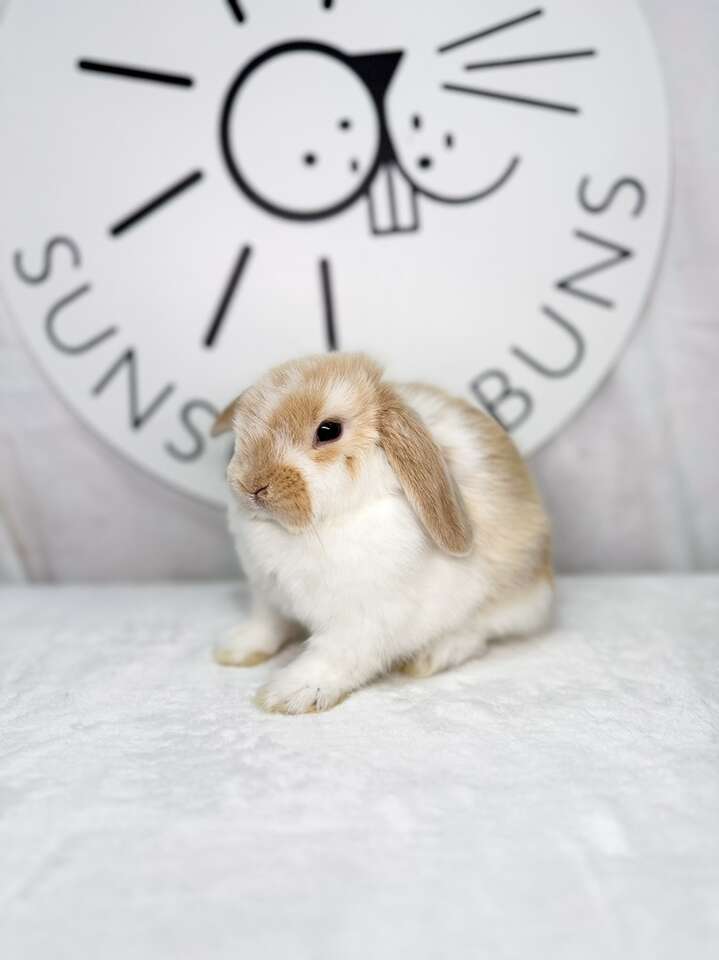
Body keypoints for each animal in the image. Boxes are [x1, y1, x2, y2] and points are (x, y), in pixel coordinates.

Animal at [211, 352, 556, 712]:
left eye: (328, 430)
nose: (251, 485)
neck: (313, 528)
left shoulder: (361, 620)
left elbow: (334, 657)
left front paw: (290, 693)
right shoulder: (268, 596)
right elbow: (267, 625)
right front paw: (236, 649)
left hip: (504, 601)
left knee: (478, 633)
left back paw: (433, 655)